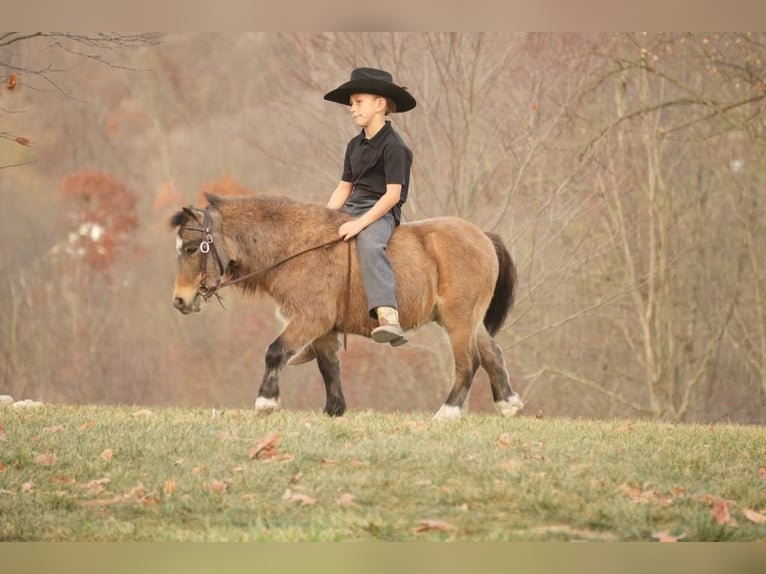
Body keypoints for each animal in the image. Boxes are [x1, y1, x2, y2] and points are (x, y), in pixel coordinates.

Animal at [170, 196, 524, 420]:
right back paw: (508, 405)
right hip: (469, 320)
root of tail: (483, 236)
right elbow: (329, 367)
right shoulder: (325, 329)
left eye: (191, 248)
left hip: (458, 319)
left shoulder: (311, 319)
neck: (297, 248)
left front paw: (266, 401)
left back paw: (448, 412)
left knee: (468, 362)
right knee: (492, 354)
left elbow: (275, 352)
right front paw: (335, 410)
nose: (180, 300)